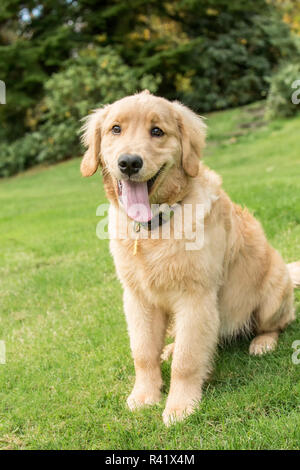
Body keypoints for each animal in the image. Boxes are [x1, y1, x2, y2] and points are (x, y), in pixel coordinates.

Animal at [81, 90, 298, 424]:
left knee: (277, 324)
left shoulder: (195, 298)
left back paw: (262, 343)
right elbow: (143, 353)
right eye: (115, 129)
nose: (129, 163)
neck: (154, 228)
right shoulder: (137, 298)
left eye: (157, 131)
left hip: (272, 295)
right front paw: (144, 395)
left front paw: (180, 406)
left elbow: (187, 360)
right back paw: (168, 348)